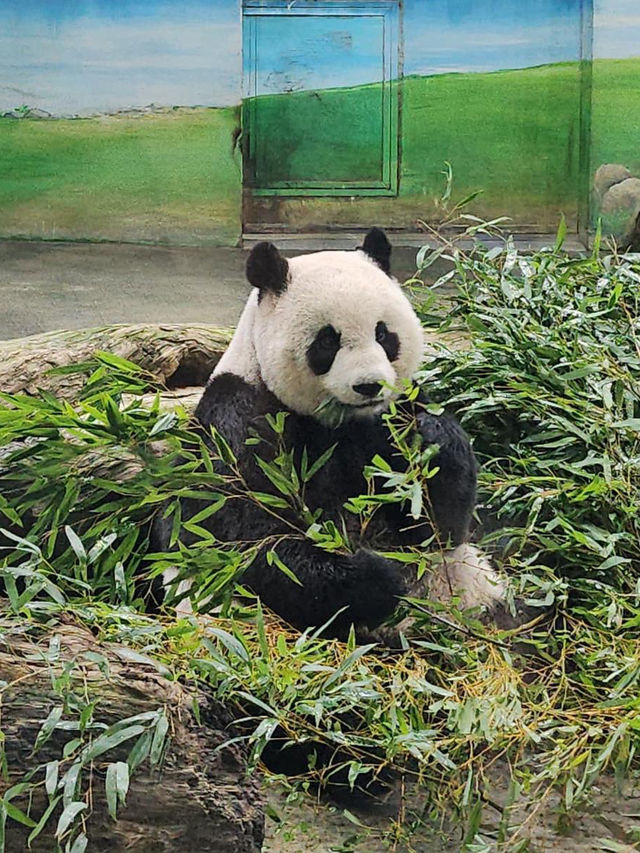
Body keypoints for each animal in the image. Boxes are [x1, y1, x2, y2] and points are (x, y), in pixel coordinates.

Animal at [158, 226, 508, 640]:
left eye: (383, 334)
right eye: (328, 340)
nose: (369, 385)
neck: (340, 421)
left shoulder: (389, 418)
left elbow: (437, 526)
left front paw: (431, 439)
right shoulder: (240, 415)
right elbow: (239, 532)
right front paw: (375, 577)